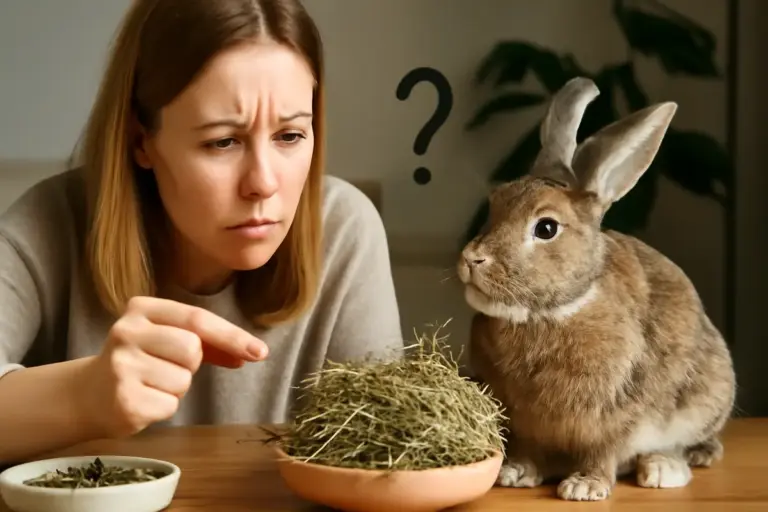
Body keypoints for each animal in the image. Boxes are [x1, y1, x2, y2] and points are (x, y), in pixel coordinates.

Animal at [456, 77, 736, 502]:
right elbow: (529, 448)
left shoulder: (616, 415)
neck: (549, 313)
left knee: (680, 448)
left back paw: (662, 469)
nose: (472, 259)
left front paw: (584, 487)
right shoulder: (524, 422)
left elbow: (603, 452)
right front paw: (516, 473)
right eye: (494, 204)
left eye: (546, 228)